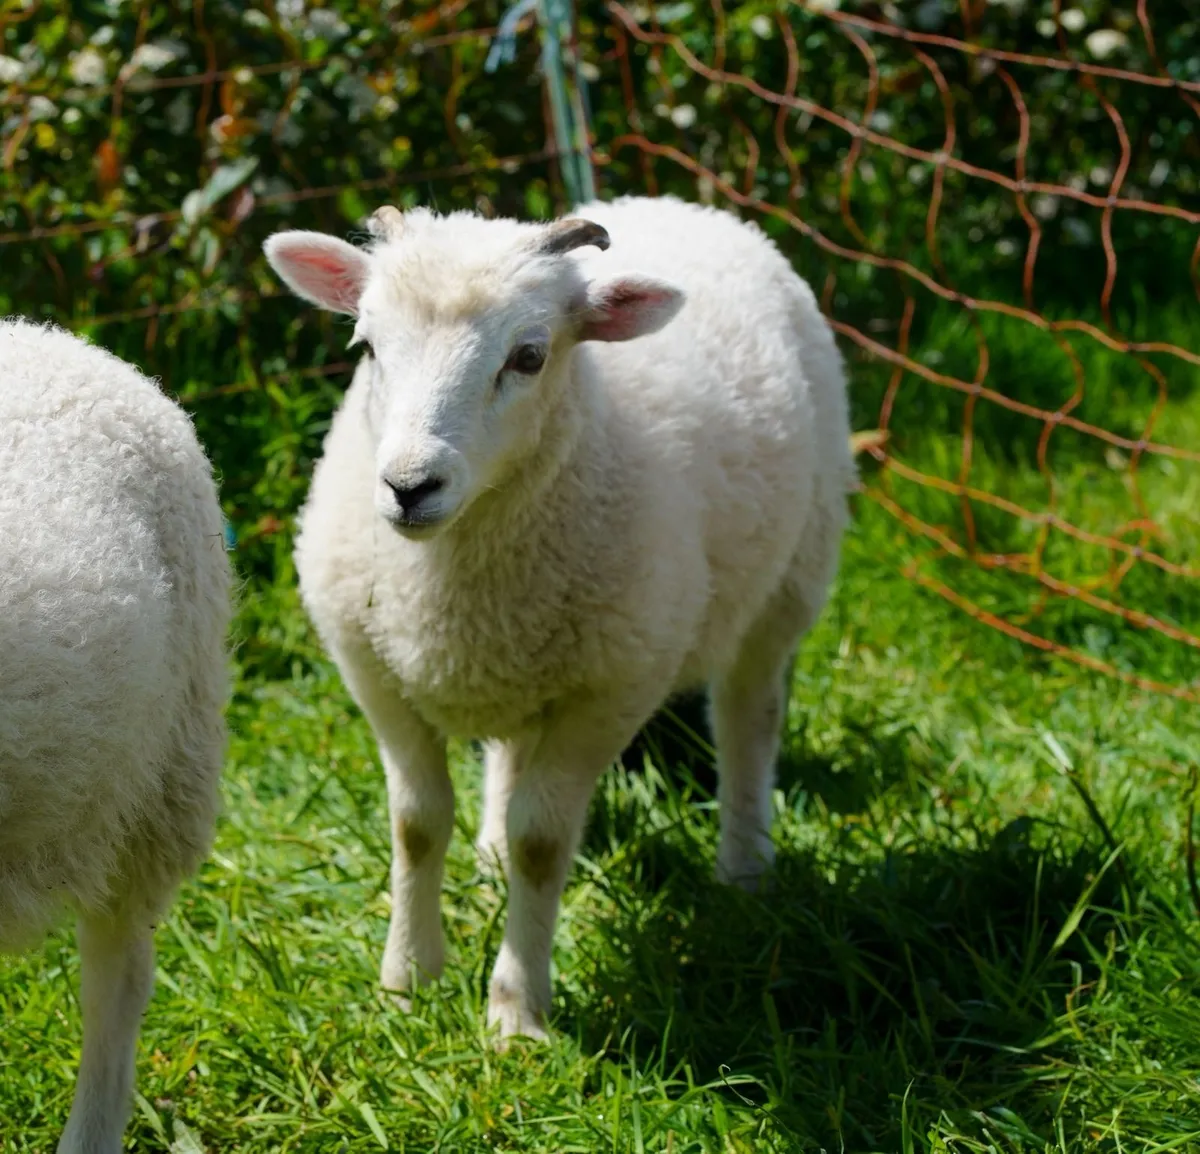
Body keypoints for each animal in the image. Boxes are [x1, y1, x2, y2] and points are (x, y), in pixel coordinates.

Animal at [263, 194, 854, 1040]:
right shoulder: (374, 672)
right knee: (512, 754)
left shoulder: (610, 689)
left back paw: (745, 869)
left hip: (790, 579)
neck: (451, 577)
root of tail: (681, 203)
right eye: (367, 345)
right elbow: (416, 824)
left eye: (530, 356)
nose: (409, 486)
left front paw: (517, 1014)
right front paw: (407, 982)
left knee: (751, 716)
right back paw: (487, 860)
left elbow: (543, 843)